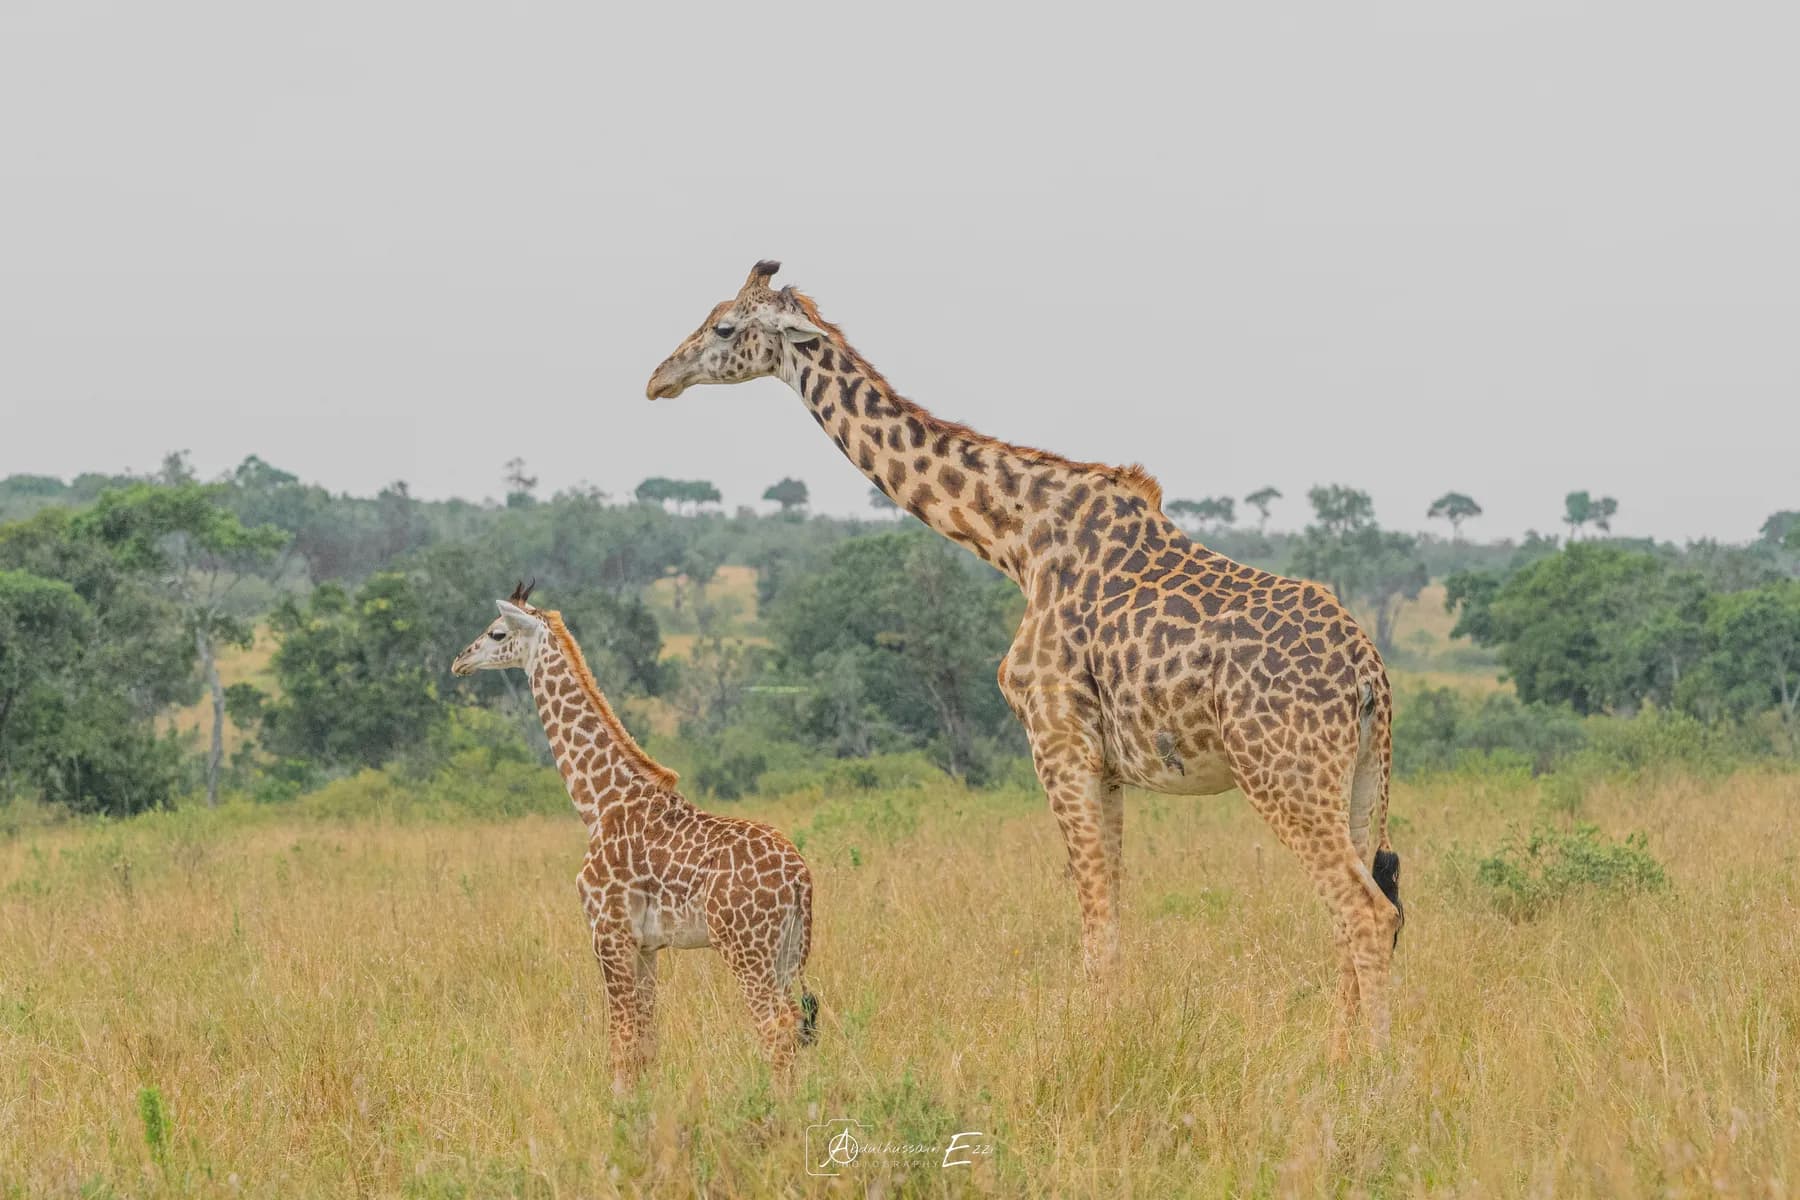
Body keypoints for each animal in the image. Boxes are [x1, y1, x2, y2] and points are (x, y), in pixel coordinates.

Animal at [451, 583, 819, 1089]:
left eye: (496, 632)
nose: (459, 660)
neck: (599, 803)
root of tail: (800, 879)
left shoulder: (608, 932)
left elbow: (621, 1044)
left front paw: (620, 1107)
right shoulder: (646, 946)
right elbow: (646, 1045)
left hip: (746, 949)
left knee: (775, 1028)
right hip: (787, 952)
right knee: (796, 1026)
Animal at [645, 263, 1404, 1056]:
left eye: (726, 326)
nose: (659, 378)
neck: (1013, 537)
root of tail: (1368, 676)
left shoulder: (1057, 740)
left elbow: (1096, 929)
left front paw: (1099, 1051)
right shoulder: (1104, 763)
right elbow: (1112, 915)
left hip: (1284, 774)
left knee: (1366, 911)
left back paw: (1372, 1066)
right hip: (1357, 777)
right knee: (1358, 908)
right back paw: (1336, 1053)